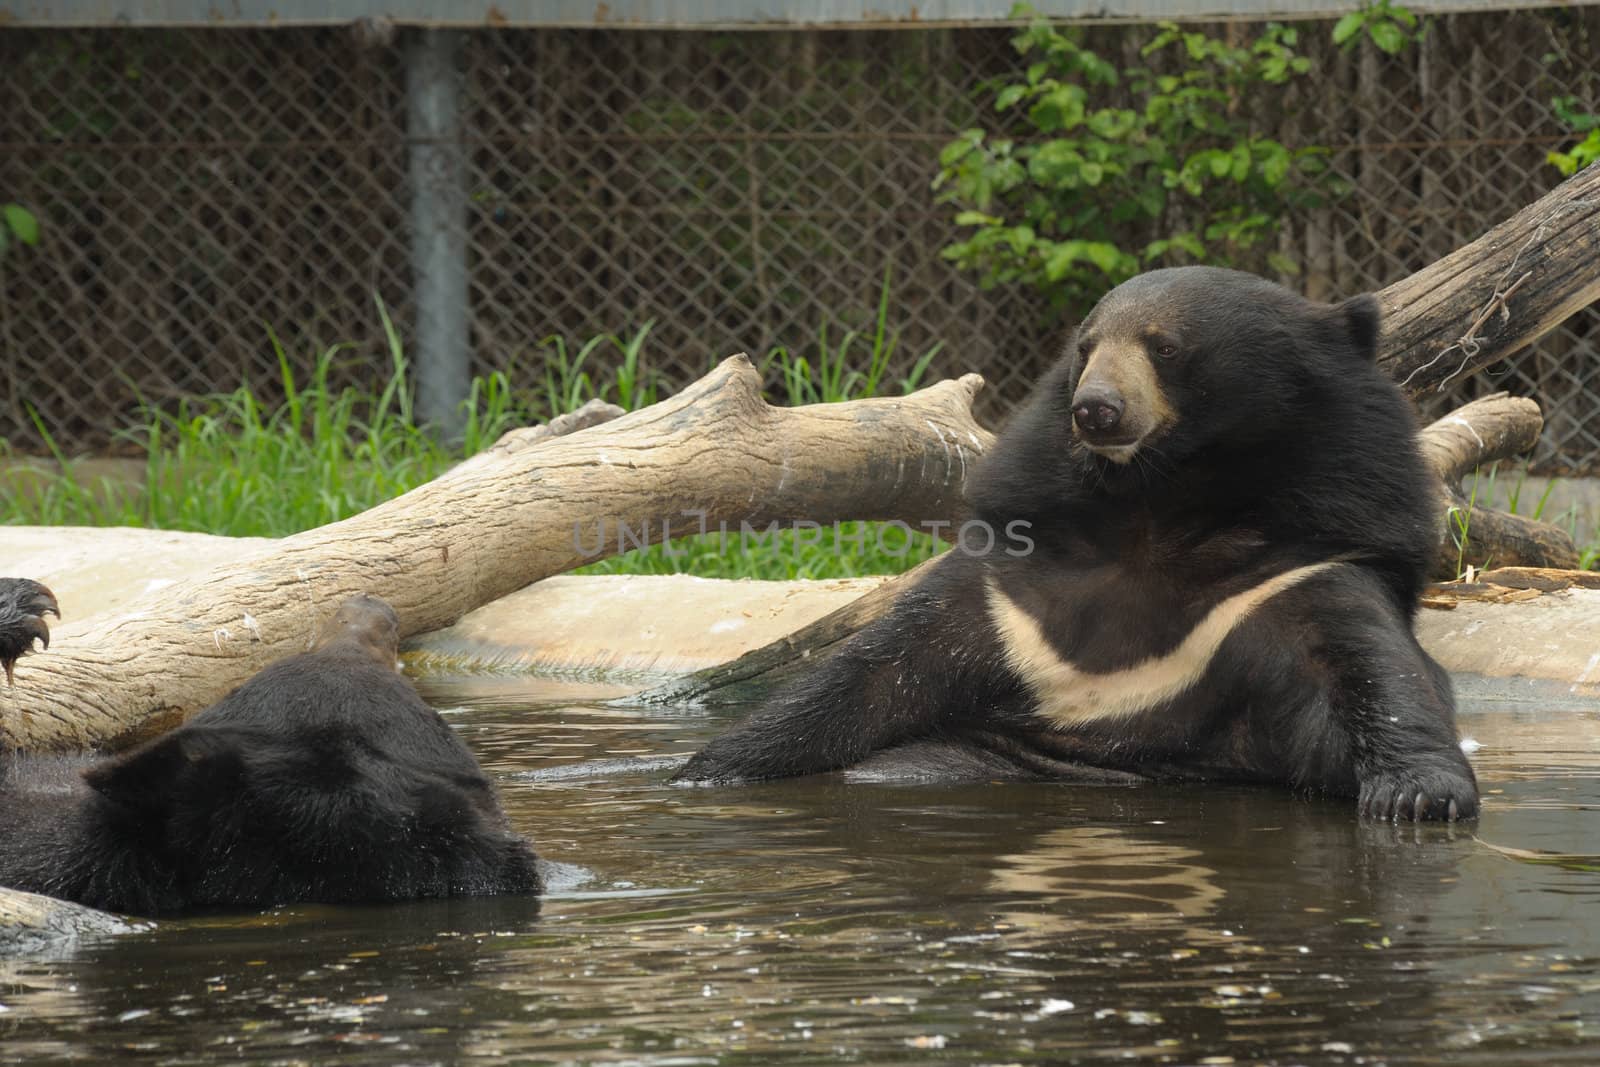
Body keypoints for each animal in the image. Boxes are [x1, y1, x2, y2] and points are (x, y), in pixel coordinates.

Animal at [672, 268, 1472, 825]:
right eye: (1086, 350)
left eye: (1164, 346)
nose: (1097, 409)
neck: (1161, 497)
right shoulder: (1014, 580)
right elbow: (874, 670)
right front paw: (707, 766)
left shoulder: (1299, 562)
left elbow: (1366, 668)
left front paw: (1417, 796)